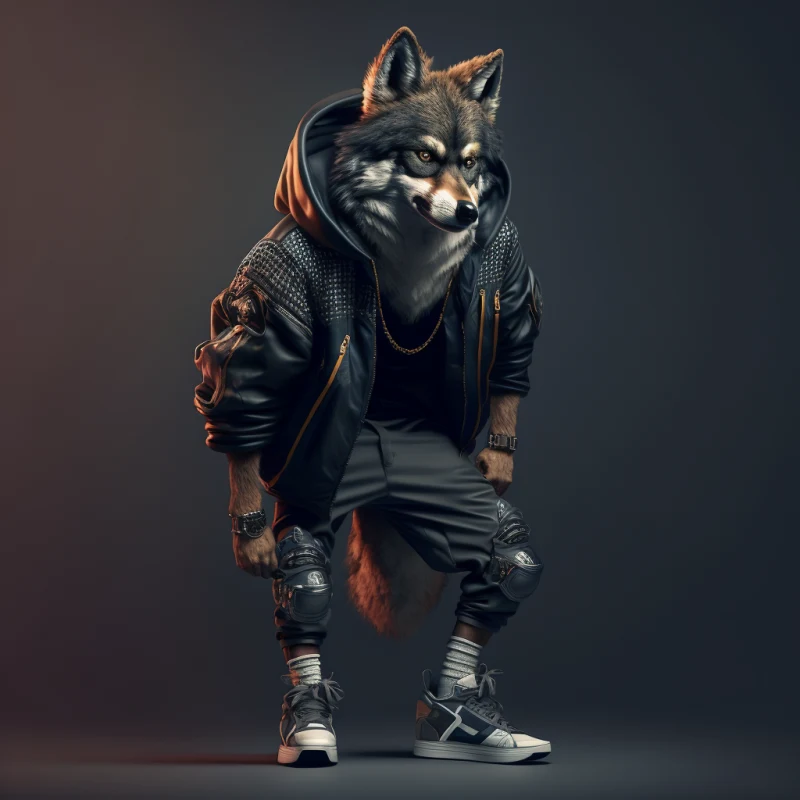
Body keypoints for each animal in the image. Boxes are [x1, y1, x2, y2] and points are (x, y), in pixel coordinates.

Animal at [194, 26, 547, 766]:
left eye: (471, 164)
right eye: (423, 155)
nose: (468, 210)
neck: (409, 255)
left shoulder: (506, 265)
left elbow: (511, 348)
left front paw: (472, 720)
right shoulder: (274, 283)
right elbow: (248, 385)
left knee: (511, 563)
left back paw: (451, 720)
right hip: (309, 492)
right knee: (303, 581)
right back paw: (309, 727)